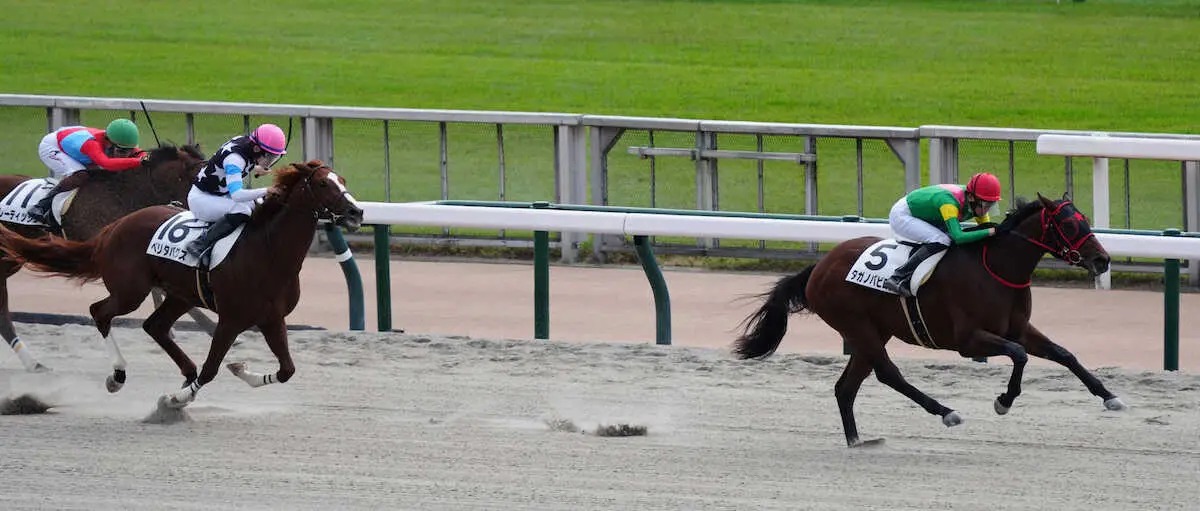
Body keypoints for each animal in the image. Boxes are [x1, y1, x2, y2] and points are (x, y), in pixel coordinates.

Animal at [729, 194, 1123, 446]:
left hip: (873, 331)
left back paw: (856, 440)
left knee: (847, 386)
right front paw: (1004, 401)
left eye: (1085, 220)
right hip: (857, 325)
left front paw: (1109, 396)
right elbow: (1019, 355)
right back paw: (946, 412)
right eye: (1069, 224)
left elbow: (1063, 353)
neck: (997, 268)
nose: (1102, 260)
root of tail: (819, 267)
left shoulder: (1019, 328)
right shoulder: (968, 340)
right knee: (888, 374)